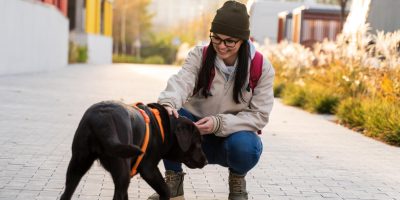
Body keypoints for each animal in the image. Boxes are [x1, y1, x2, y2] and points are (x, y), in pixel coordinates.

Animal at [61, 101, 209, 200]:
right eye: (198, 143)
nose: (206, 161)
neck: (163, 127)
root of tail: (103, 119)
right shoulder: (149, 169)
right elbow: (165, 190)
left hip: (77, 164)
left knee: (66, 193)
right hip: (122, 172)